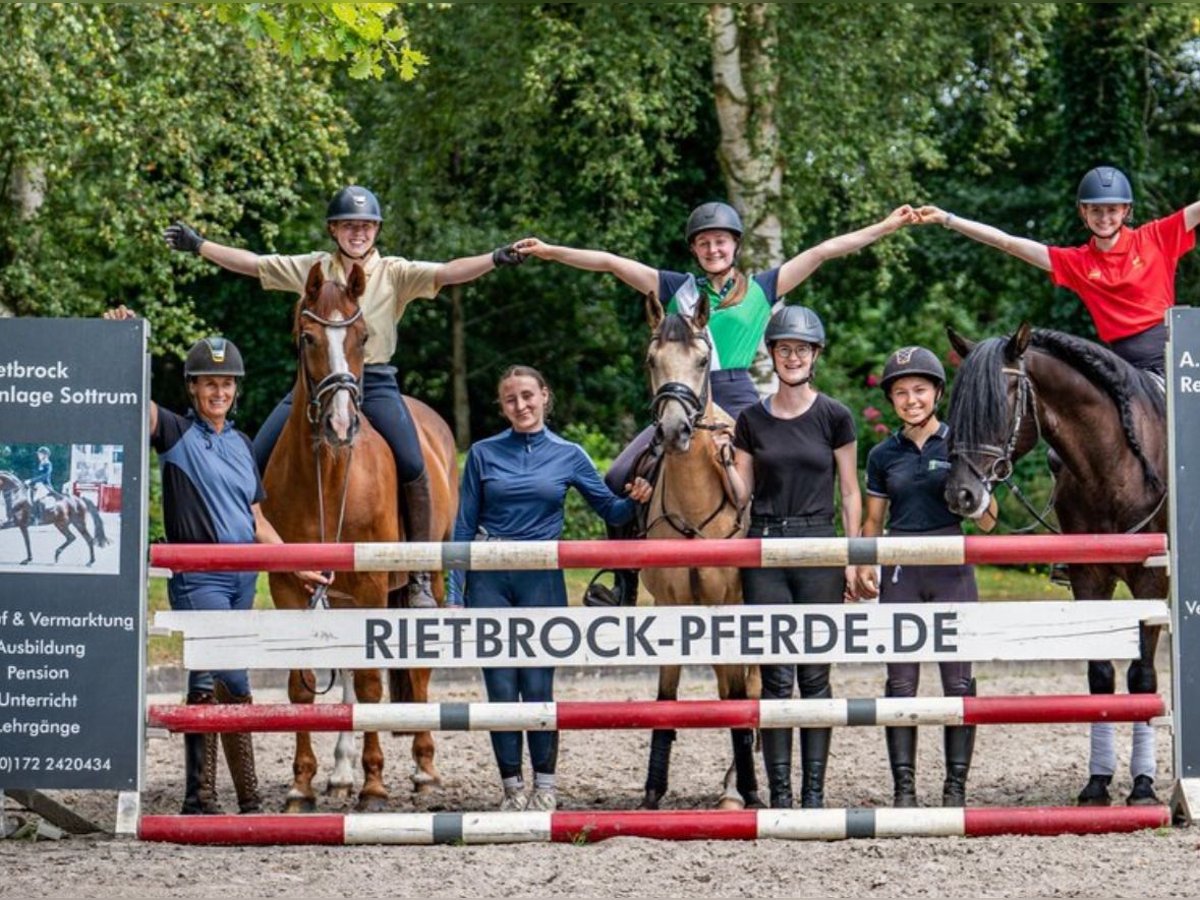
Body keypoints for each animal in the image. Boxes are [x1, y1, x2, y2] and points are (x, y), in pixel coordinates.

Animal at [262, 262, 458, 816]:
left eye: (363, 337)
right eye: (307, 338)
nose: (340, 423)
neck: (329, 474)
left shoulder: (371, 583)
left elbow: (371, 683)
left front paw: (374, 785)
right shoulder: (291, 587)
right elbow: (302, 686)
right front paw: (303, 785)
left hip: (424, 579)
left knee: (415, 666)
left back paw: (422, 770)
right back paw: (341, 773)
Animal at [940, 324, 1166, 801]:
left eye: (1000, 403)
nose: (961, 494)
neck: (1117, 464)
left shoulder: (1150, 584)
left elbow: (1143, 678)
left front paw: (1142, 785)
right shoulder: (1090, 579)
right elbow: (1100, 675)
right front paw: (1097, 783)